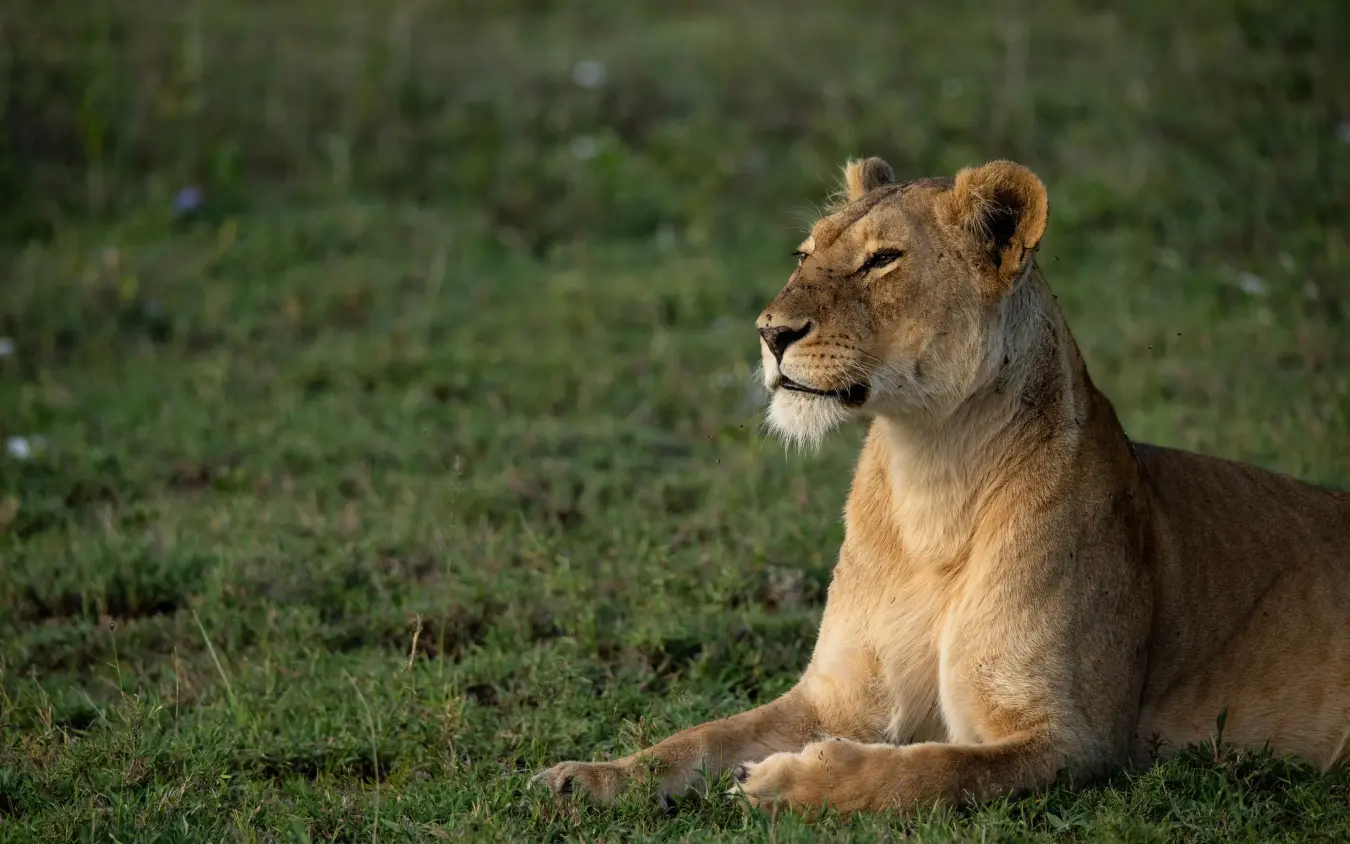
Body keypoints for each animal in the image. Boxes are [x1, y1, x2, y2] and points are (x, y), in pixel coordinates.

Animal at [534, 157, 1350, 816]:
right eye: (805, 253)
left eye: (882, 261)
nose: (770, 332)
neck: (932, 479)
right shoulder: (835, 696)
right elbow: (700, 737)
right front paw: (589, 777)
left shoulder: (1075, 740)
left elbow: (925, 772)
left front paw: (786, 782)